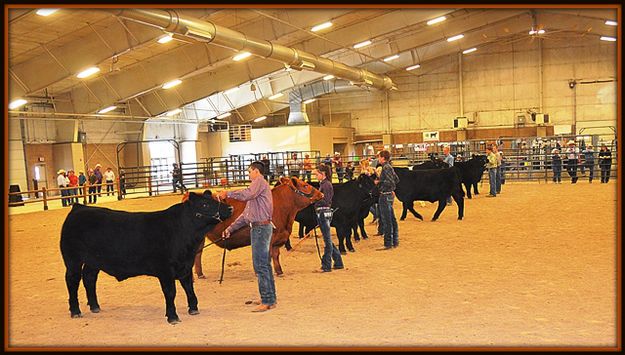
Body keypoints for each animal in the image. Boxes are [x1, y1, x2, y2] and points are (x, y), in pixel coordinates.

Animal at [59, 192, 232, 326]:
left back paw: (95, 306)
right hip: (72, 259)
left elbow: (188, 287)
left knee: (89, 278)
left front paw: (193, 308)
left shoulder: (185, 266)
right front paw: (173, 316)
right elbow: (171, 292)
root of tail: (79, 207)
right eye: (205, 204)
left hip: (93, 262)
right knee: (72, 281)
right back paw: (75, 311)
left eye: (214, 199)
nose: (229, 208)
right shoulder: (165, 270)